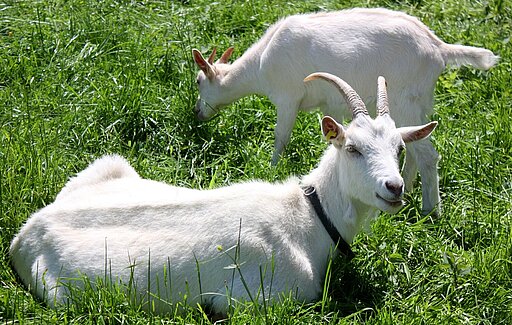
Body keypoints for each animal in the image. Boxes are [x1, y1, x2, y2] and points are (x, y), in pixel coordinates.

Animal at [10, 73, 436, 314]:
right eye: (352, 148)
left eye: (399, 148)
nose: (394, 188)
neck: (307, 215)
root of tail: (27, 232)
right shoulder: (261, 298)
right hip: (65, 297)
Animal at [191, 6, 496, 215]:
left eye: (198, 81)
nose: (197, 113)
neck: (262, 62)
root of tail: (438, 47)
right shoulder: (331, 104)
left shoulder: (288, 97)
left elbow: (281, 137)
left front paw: (272, 169)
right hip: (419, 102)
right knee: (415, 144)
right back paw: (407, 188)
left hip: (404, 100)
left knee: (429, 155)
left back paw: (430, 211)